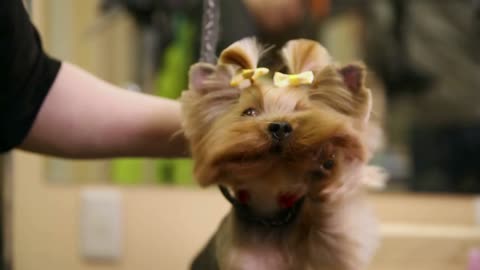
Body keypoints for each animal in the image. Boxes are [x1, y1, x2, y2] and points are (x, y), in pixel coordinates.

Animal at [182, 38, 384, 270]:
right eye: (249, 112)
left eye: (301, 110)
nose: (279, 126)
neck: (269, 211)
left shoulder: (332, 251)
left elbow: (339, 240)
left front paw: (328, 165)